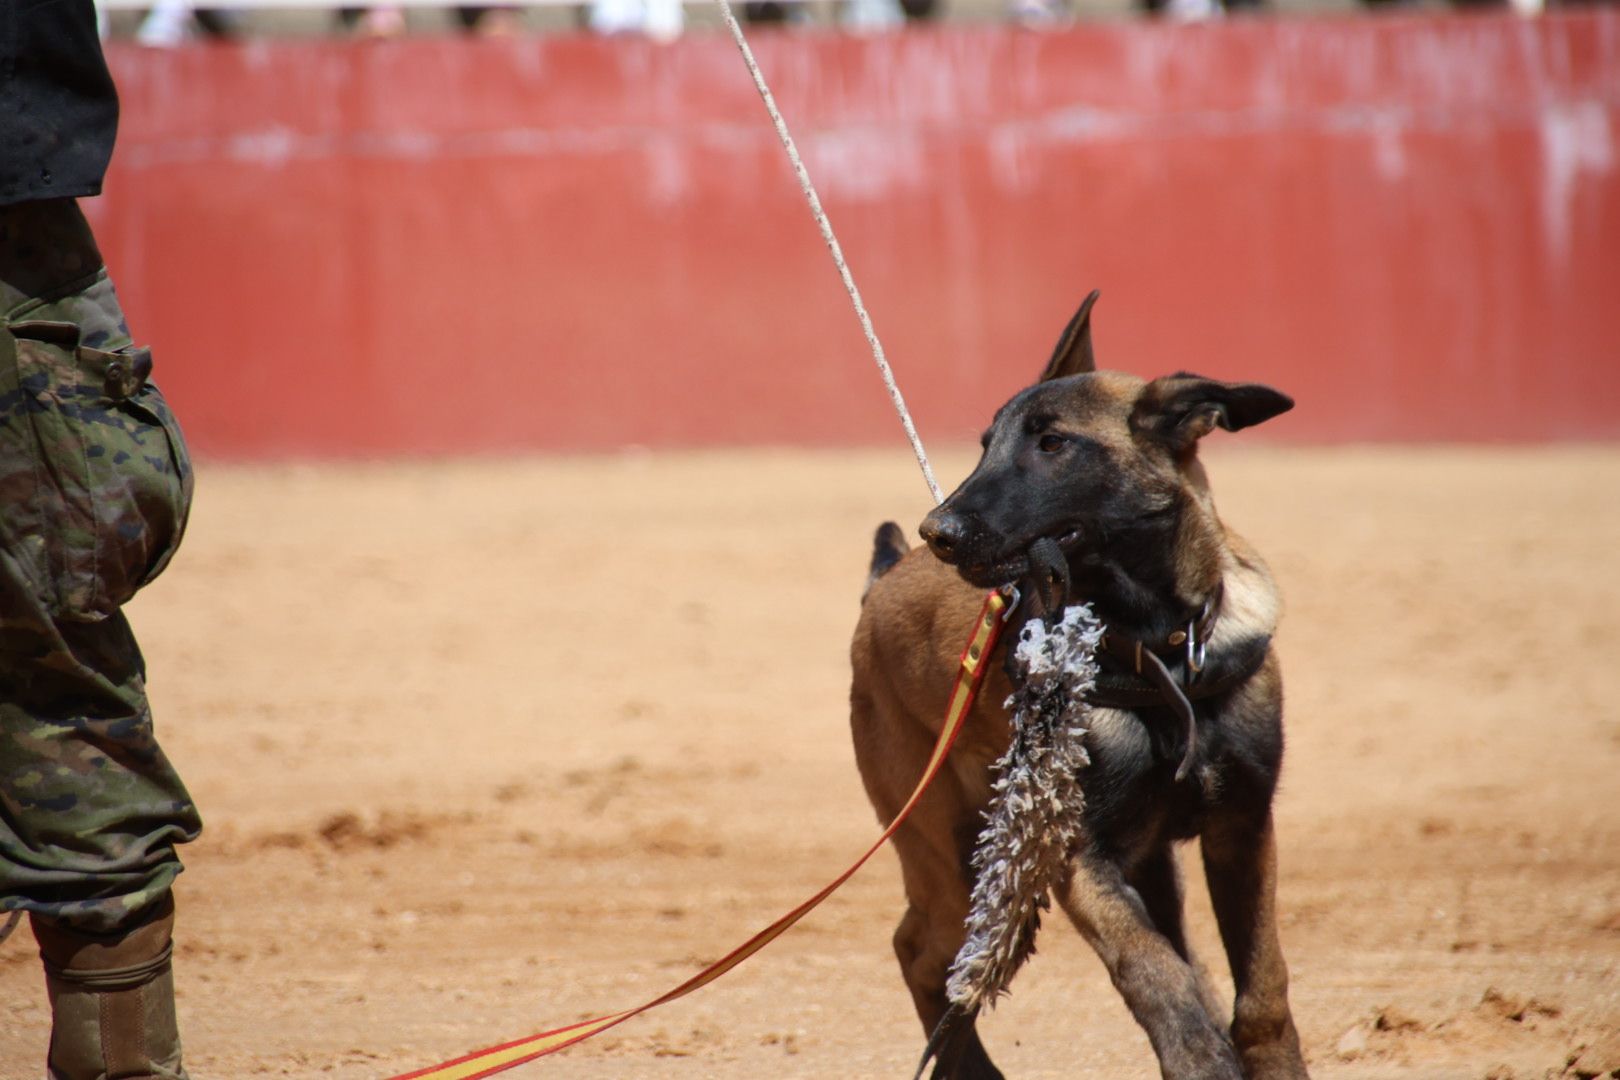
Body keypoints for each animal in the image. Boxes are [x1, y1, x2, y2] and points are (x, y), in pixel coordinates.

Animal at [855, 291, 1308, 1075]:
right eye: (988, 443)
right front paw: (1202, 1058)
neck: (1159, 652)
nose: (938, 529)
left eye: (1052, 443)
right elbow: (1154, 971)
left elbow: (1260, 989)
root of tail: (883, 582)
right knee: (923, 952)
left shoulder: (1242, 827)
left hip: (1143, 860)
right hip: (944, 849)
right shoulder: (1077, 854)